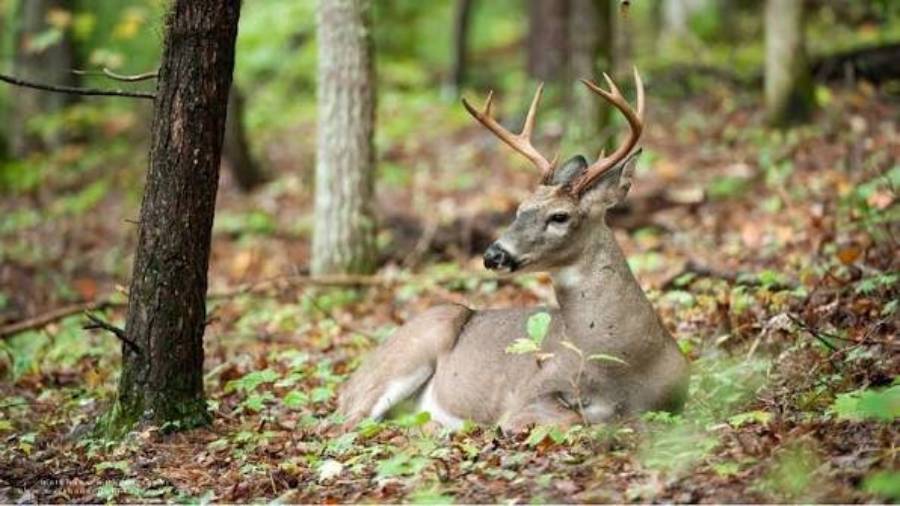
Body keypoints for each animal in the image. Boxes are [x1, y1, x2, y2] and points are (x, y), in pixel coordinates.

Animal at [338, 68, 689, 432]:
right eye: (519, 209)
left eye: (559, 216)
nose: (493, 255)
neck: (626, 361)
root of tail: (348, 384)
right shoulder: (528, 396)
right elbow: (571, 418)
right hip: (417, 343)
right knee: (349, 421)